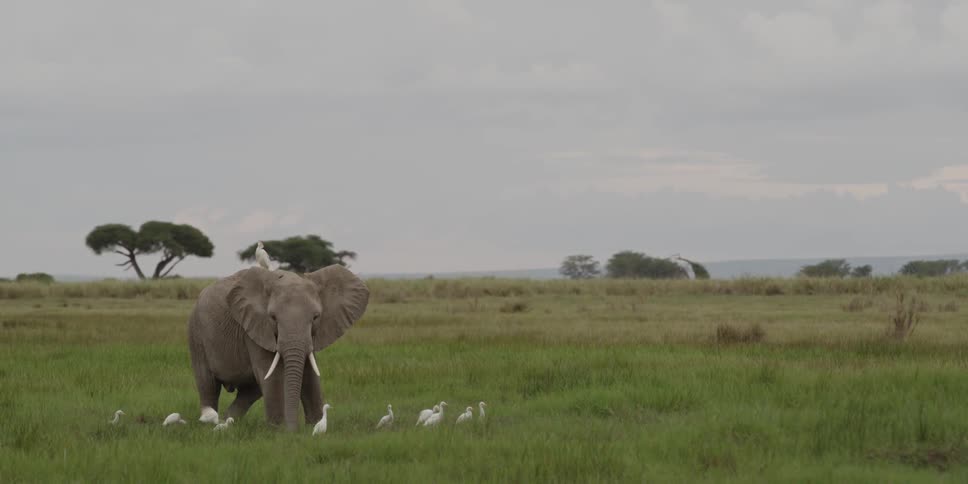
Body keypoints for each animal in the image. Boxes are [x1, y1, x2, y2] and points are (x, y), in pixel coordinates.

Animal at [187, 265, 369, 431]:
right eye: (273, 317)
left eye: (316, 317)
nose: (293, 430)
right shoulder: (255, 327)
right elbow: (273, 375)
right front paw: (278, 431)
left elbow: (310, 374)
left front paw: (314, 427)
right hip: (196, 335)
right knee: (208, 384)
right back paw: (210, 424)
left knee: (250, 391)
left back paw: (228, 422)